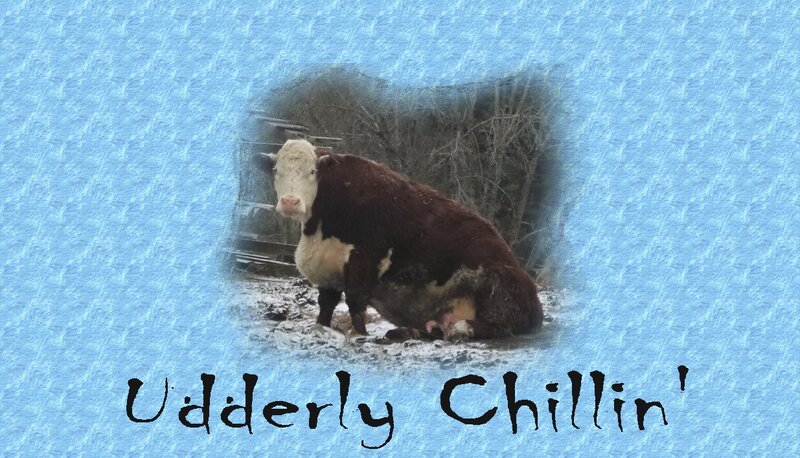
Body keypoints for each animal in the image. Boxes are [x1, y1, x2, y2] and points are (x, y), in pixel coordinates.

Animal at [252, 139, 543, 341]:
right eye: (276, 170)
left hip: (495, 287)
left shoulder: (364, 259)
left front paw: (360, 335)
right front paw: (322, 328)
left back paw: (460, 329)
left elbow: (355, 301)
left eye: (312, 172)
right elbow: (326, 304)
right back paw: (407, 332)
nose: (290, 201)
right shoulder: (328, 267)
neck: (319, 228)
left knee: (499, 324)